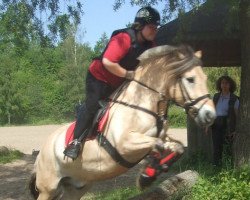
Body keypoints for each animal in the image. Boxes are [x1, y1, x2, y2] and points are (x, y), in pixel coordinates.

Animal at [29, 44, 216, 199]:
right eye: (190, 79)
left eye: (206, 78)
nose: (210, 115)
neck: (144, 102)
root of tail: (41, 153)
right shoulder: (125, 144)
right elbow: (157, 144)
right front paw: (147, 175)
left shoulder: (161, 137)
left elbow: (176, 147)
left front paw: (147, 175)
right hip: (48, 187)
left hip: (77, 186)